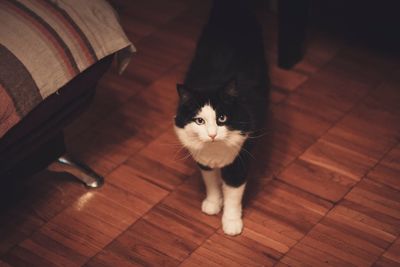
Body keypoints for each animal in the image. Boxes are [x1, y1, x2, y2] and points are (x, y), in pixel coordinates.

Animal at [173, 0, 268, 236]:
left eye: (222, 118)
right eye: (199, 121)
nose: (213, 135)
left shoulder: (240, 160)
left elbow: (233, 193)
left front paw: (231, 223)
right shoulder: (203, 159)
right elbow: (211, 183)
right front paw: (213, 204)